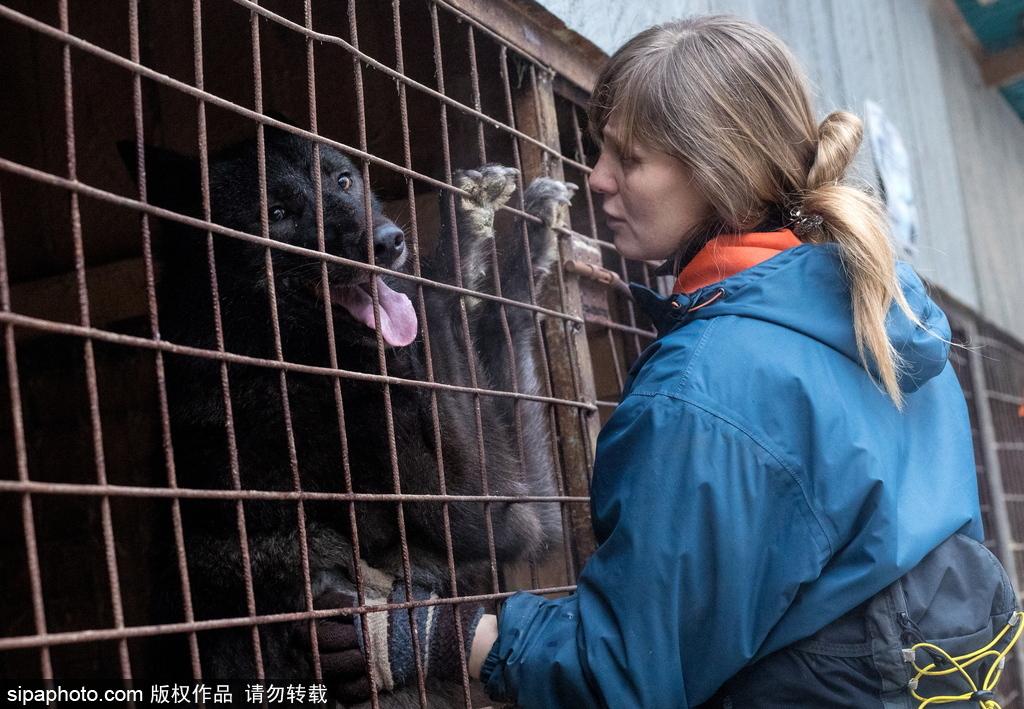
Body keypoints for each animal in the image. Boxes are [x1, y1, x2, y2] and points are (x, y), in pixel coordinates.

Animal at [124, 128, 573, 704]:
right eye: (278, 213)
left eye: (342, 180)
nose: (388, 242)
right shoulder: (496, 510)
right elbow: (448, 302)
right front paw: (463, 236)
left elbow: (500, 317)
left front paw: (530, 236)